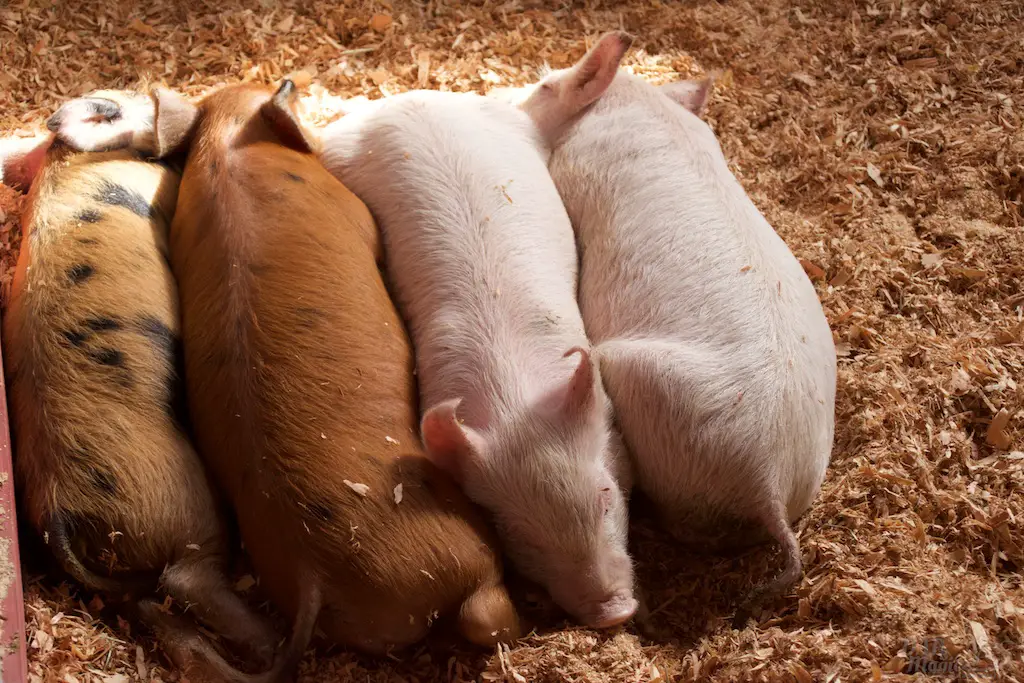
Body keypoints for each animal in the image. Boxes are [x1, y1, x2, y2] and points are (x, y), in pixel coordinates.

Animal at [1, 90, 281, 676]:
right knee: (185, 578)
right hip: (178, 503)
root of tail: (59, 510)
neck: (65, 158)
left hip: (132, 572)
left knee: (162, 614)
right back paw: (273, 643)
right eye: (115, 105)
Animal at [319, 89, 638, 629]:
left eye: (605, 495)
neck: (513, 398)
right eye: (518, 535)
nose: (613, 612)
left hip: (504, 121)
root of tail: (407, 99)